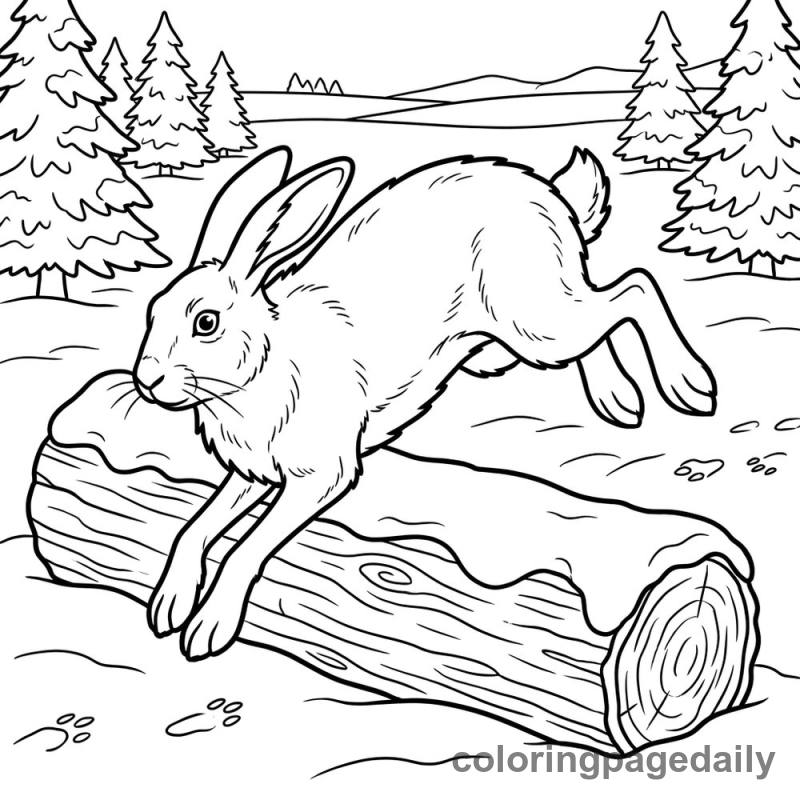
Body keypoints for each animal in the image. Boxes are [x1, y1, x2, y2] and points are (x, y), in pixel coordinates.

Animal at [133, 145, 715, 660]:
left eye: (206, 323)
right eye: (152, 311)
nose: (146, 379)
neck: (264, 367)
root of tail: (550, 196)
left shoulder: (321, 475)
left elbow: (246, 547)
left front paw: (207, 629)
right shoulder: (252, 473)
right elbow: (196, 527)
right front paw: (167, 605)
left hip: (534, 319)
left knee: (631, 290)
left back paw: (689, 384)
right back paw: (617, 398)